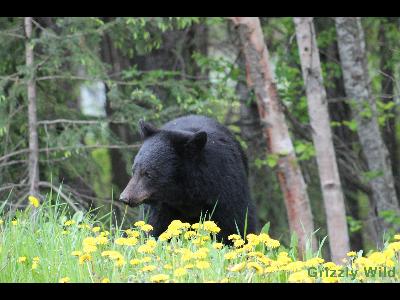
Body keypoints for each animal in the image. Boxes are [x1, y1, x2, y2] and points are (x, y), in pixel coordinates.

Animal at [119, 115, 258, 241]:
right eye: (134, 170)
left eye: (148, 174)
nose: (124, 198)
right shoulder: (162, 205)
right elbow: (154, 225)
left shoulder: (225, 185)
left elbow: (235, 222)